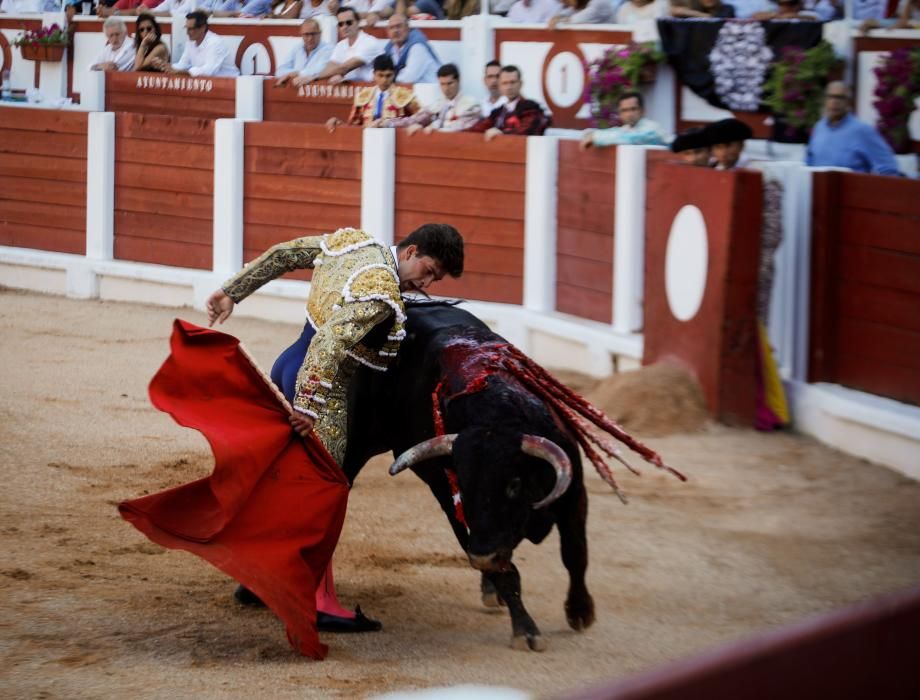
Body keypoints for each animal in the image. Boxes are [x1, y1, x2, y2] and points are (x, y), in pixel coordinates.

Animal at [342, 304, 592, 652]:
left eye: (514, 484)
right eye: (463, 481)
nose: (482, 555)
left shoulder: (574, 492)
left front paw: (580, 612)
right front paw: (525, 630)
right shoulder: (454, 500)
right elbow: (507, 572)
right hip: (358, 446)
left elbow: (574, 553)